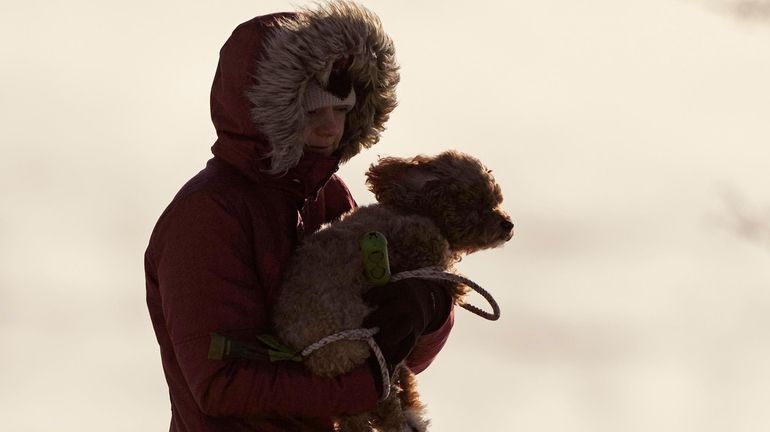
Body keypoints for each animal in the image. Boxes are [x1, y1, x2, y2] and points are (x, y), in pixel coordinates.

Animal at [272, 150, 512, 430]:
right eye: (477, 203)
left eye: (495, 199)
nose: (508, 225)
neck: (416, 209)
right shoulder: (414, 240)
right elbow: (437, 264)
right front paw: (456, 285)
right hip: (364, 353)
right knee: (384, 399)